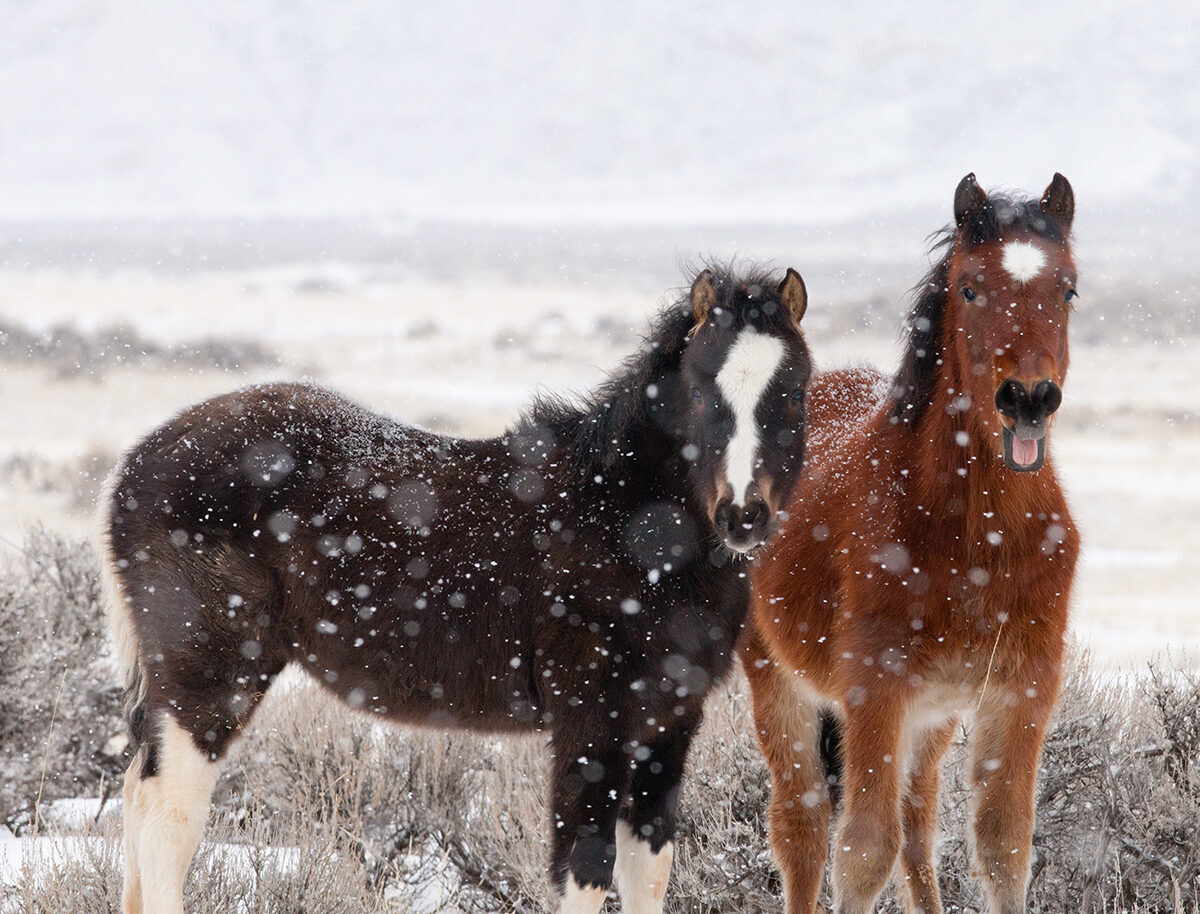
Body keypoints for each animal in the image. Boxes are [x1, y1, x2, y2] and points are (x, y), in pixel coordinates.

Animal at [101, 265, 814, 914]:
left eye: (792, 394)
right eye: (702, 392)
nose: (743, 516)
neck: (623, 523)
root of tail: (133, 466)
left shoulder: (668, 724)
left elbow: (648, 871)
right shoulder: (591, 725)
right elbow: (585, 868)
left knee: (138, 796)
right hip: (210, 678)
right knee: (168, 819)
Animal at [743, 174, 1080, 914]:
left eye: (1068, 289)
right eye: (970, 288)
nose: (1028, 399)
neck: (976, 536)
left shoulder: (1021, 691)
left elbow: (1003, 847)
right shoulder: (877, 686)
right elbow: (863, 851)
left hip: (932, 720)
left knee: (918, 826)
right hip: (779, 683)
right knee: (804, 828)